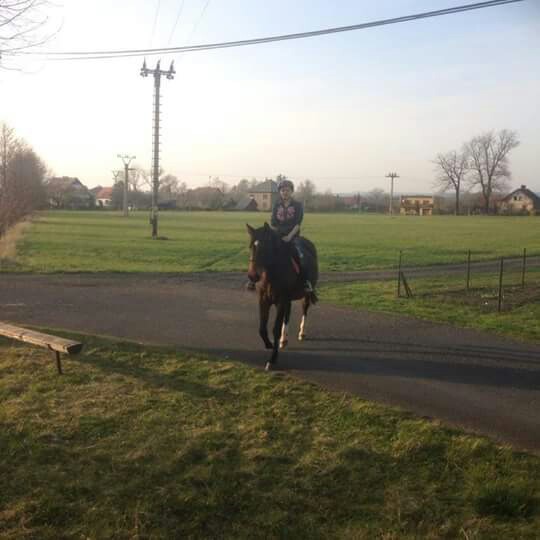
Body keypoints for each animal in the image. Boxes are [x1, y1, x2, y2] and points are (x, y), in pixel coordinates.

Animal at [245, 224, 316, 372]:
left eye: (264, 247)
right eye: (251, 247)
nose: (252, 276)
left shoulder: (281, 301)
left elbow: (275, 329)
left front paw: (272, 360)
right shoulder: (264, 300)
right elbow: (262, 328)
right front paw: (269, 344)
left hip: (304, 296)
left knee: (304, 310)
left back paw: (301, 333)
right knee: (287, 316)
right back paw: (284, 339)